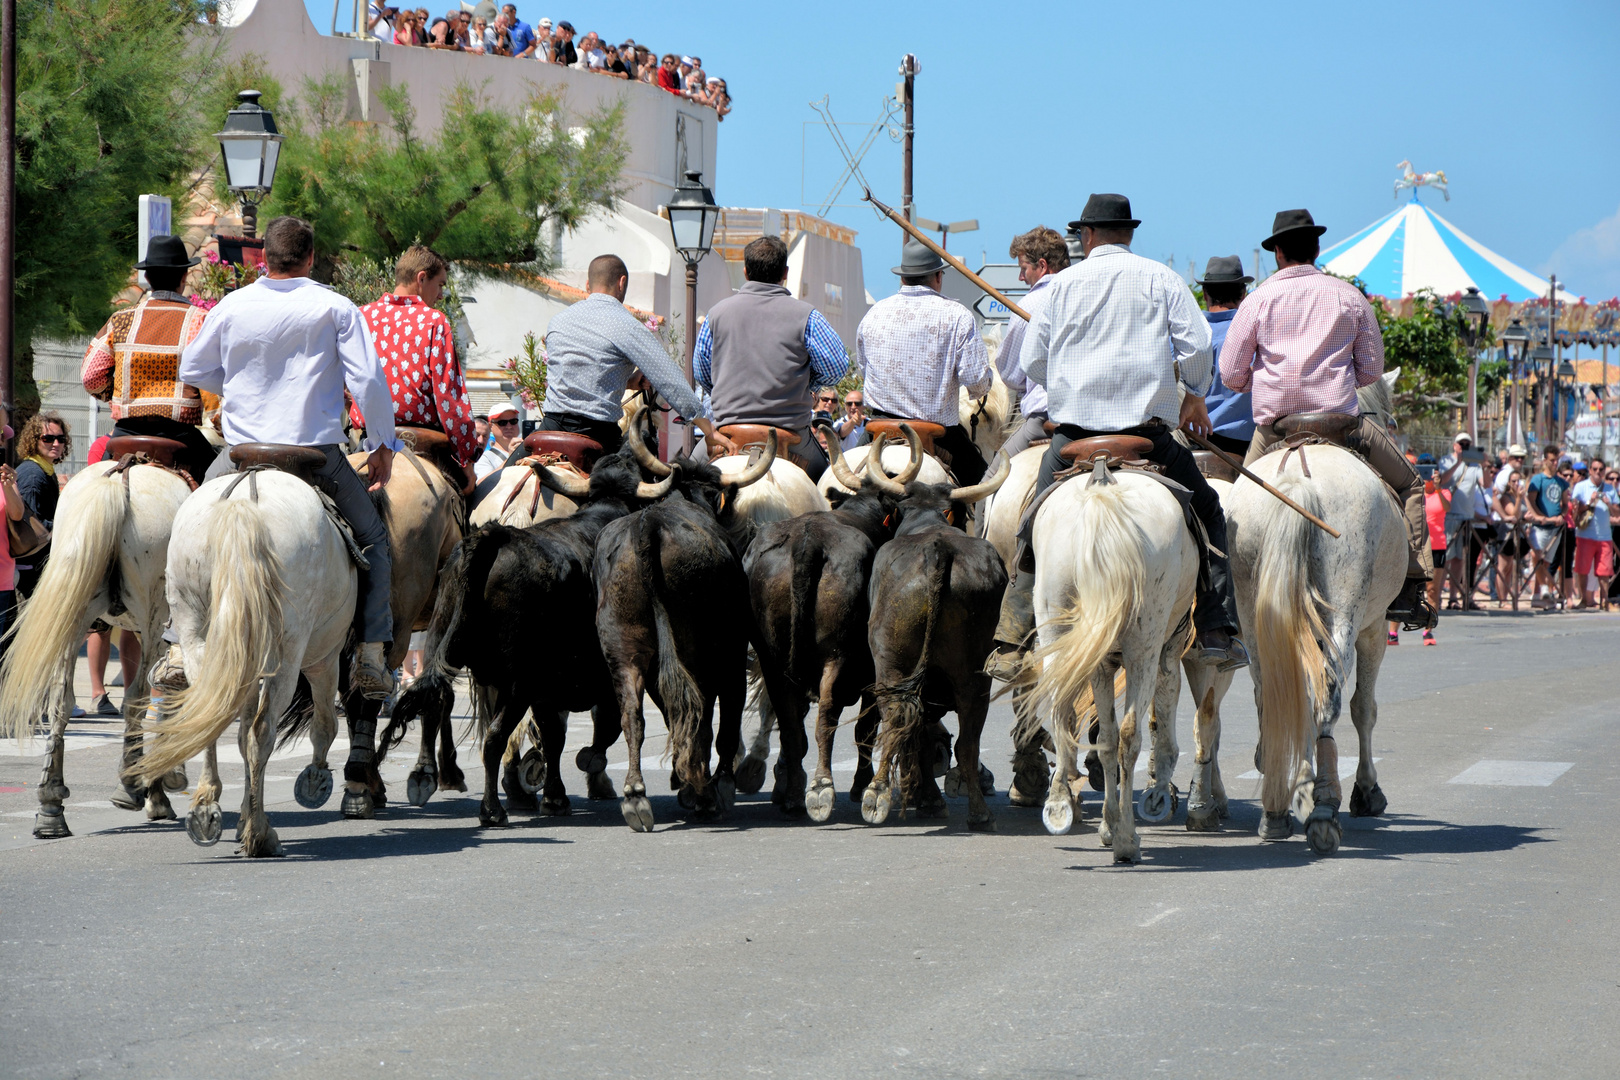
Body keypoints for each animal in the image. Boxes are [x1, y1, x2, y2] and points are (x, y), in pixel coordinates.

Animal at [0, 459, 200, 841]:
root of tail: (117, 480)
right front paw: (162, 785)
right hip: (153, 619)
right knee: (137, 695)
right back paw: (130, 784)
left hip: (74, 614)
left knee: (60, 701)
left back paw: (51, 808)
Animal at [134, 469, 359, 854]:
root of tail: (243, 502)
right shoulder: (324, 658)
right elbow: (324, 724)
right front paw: (314, 779)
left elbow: (240, 736)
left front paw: (239, 816)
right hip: (290, 650)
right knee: (264, 729)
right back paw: (261, 833)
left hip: (198, 629)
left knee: (210, 711)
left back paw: (206, 809)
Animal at [1017, 459, 1198, 867]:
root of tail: (1102, 489)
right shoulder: (1168, 646)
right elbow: (1153, 718)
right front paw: (1145, 804)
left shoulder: (1100, 663)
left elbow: (1105, 738)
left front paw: (1106, 823)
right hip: (1145, 644)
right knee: (1131, 734)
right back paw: (1128, 840)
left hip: (1056, 623)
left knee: (1062, 713)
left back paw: (1059, 801)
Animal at [1224, 440, 1406, 854]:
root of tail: (1297, 482)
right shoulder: (1374, 629)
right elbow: (1363, 709)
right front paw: (1365, 790)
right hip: (1345, 615)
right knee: (1327, 700)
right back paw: (1323, 808)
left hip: (1254, 612)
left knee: (1275, 694)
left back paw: (1277, 810)